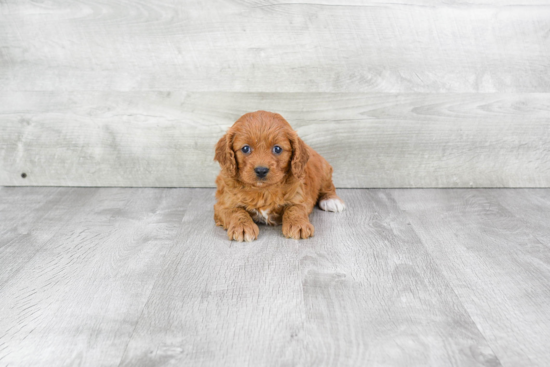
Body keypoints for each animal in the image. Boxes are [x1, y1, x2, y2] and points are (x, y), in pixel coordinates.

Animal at [215, 110, 344, 242]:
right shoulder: (224, 203)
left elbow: (295, 209)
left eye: (277, 149)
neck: (263, 190)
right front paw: (242, 226)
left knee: (329, 187)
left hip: (324, 170)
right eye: (245, 148)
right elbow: (235, 211)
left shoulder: (299, 197)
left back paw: (331, 200)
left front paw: (298, 225)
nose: (261, 170)